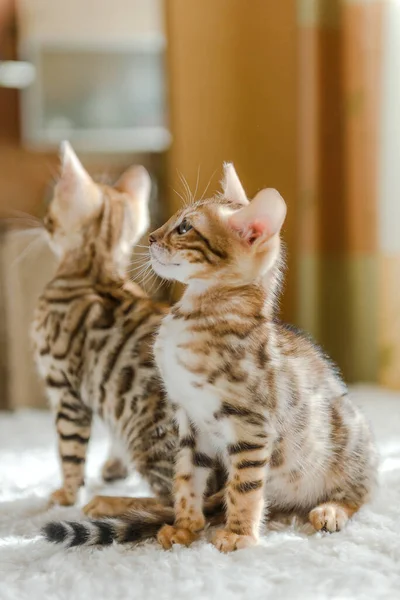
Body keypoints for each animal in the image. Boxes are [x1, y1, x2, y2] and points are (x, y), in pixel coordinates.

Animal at [34, 143, 178, 528]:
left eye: (50, 216)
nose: (43, 223)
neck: (96, 272)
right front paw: (113, 467)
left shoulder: (63, 387)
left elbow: (69, 450)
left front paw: (66, 494)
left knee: (184, 506)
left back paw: (108, 504)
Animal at [149, 164, 378, 552]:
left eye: (185, 227)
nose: (150, 237)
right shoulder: (190, 420)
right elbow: (186, 476)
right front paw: (185, 527)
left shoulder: (251, 425)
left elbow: (244, 486)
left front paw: (239, 535)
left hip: (349, 445)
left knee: (361, 492)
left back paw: (331, 510)